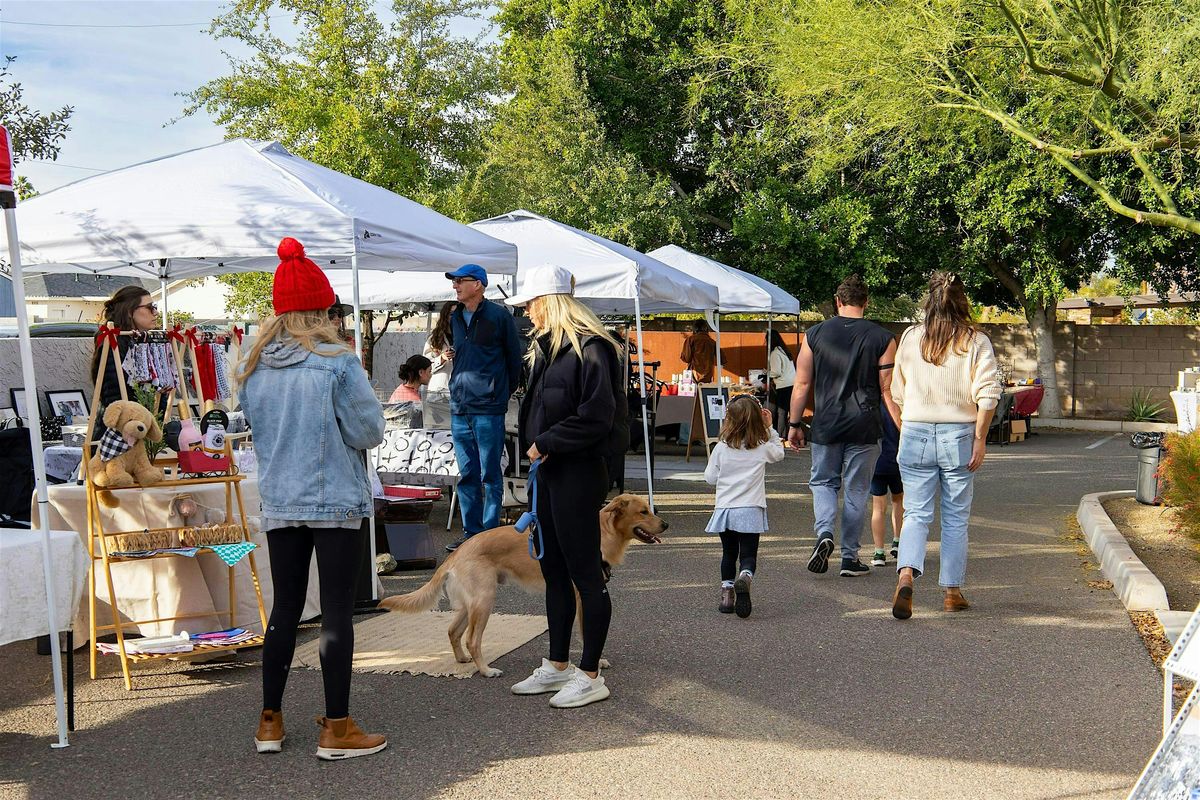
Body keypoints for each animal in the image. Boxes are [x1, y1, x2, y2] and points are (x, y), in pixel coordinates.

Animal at [379, 494, 667, 676]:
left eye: (650, 509)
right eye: (643, 511)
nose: (665, 524)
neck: (603, 533)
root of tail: (456, 553)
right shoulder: (584, 595)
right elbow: (586, 633)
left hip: (470, 605)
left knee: (452, 632)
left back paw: (462, 660)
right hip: (484, 601)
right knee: (472, 639)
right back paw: (486, 670)